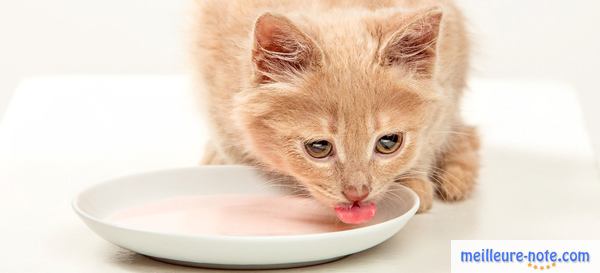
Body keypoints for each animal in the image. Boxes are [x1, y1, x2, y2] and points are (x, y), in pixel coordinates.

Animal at [195, 0, 480, 219]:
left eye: (388, 142)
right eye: (319, 147)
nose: (358, 193)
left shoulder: (448, 77)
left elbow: (429, 139)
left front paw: (412, 180)